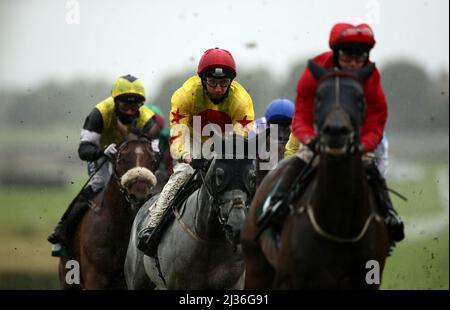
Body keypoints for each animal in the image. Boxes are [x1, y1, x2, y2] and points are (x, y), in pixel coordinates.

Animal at [125, 134, 255, 290]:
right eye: (219, 175)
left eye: (252, 178)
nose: (236, 227)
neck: (210, 241)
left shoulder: (234, 284)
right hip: (137, 279)